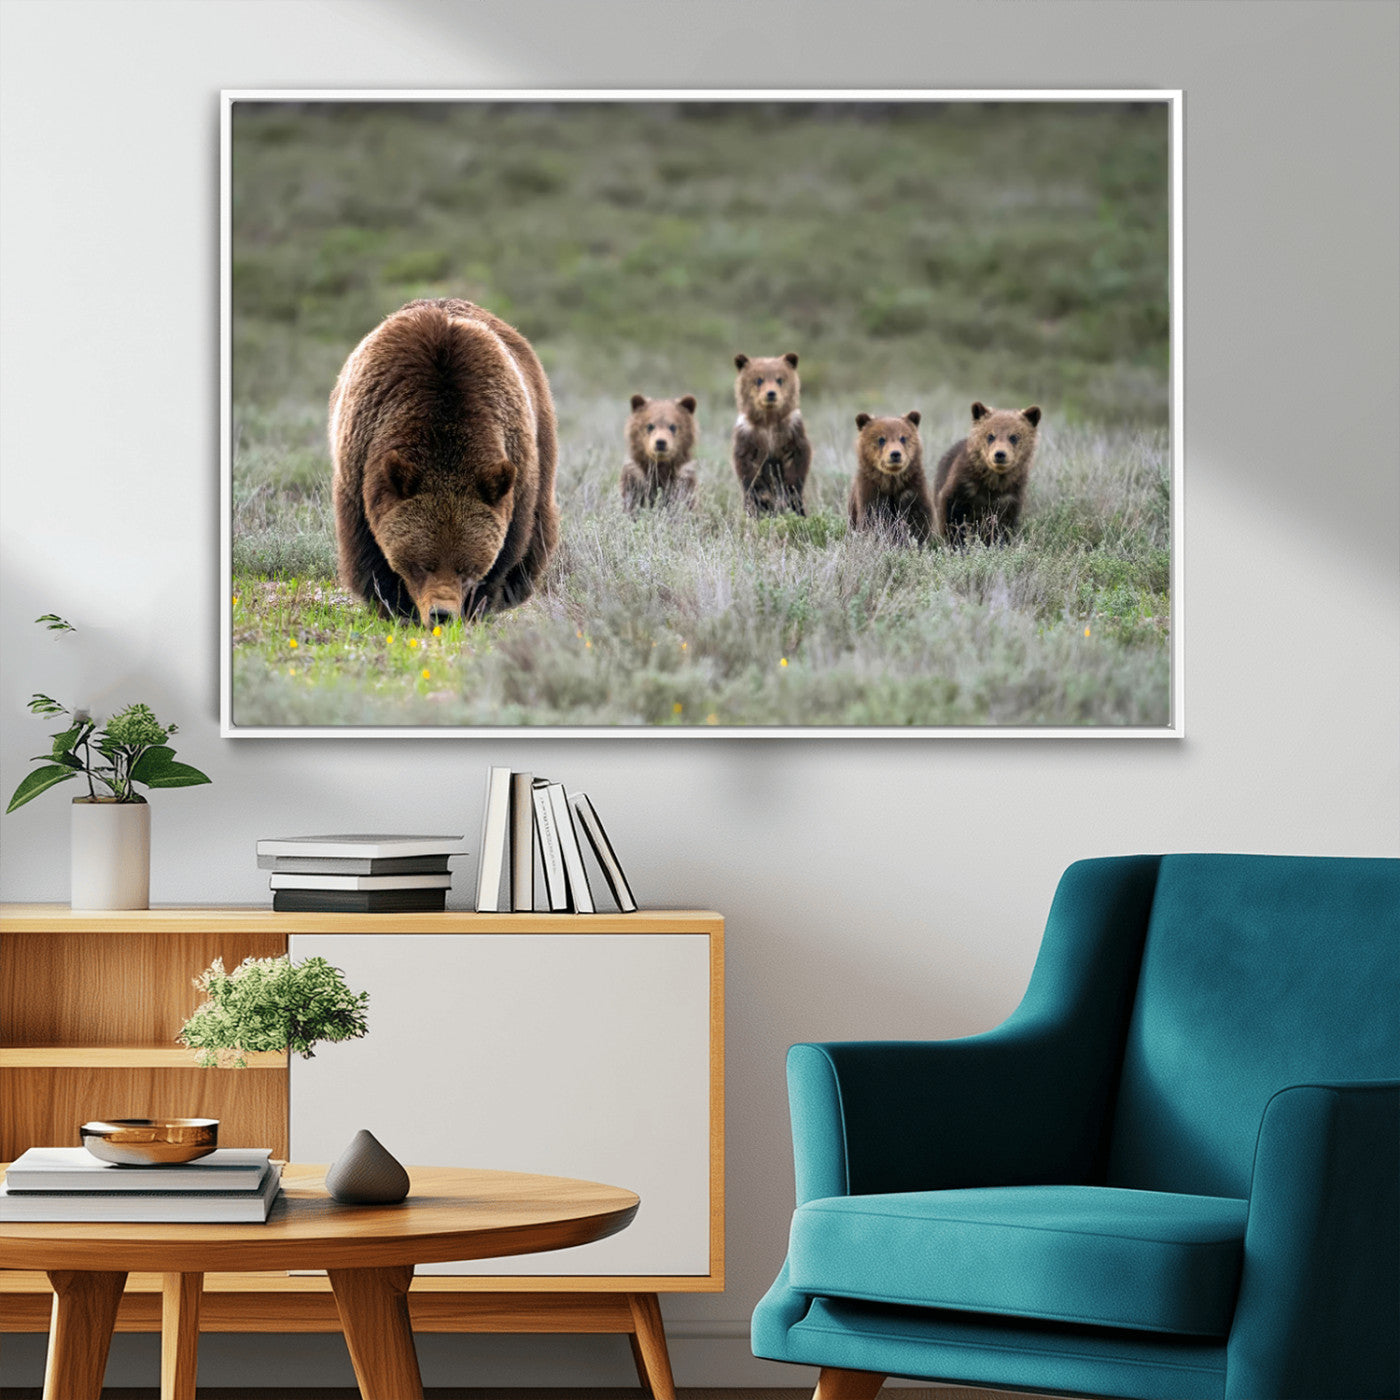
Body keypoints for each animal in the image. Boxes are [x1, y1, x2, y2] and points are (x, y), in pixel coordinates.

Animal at [330, 297, 559, 624]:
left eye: (467, 567)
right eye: (422, 563)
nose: (442, 613)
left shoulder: (516, 466)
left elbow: (509, 546)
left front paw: (478, 606)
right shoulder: (361, 463)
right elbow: (367, 549)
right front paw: (394, 605)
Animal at [731, 352, 812, 516]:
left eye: (779, 379)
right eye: (759, 379)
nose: (771, 393)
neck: (769, 422)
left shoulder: (791, 431)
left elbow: (797, 461)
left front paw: (789, 493)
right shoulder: (748, 435)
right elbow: (748, 468)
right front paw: (763, 498)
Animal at [848, 411, 932, 543]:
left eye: (903, 438)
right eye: (881, 439)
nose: (895, 454)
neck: (891, 482)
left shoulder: (913, 489)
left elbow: (919, 521)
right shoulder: (870, 493)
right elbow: (872, 520)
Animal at [933, 401, 1041, 545]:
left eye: (1014, 437)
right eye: (990, 435)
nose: (1000, 454)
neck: (993, 483)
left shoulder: (1010, 496)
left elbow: (1004, 526)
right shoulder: (962, 487)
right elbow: (952, 517)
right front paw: (956, 542)